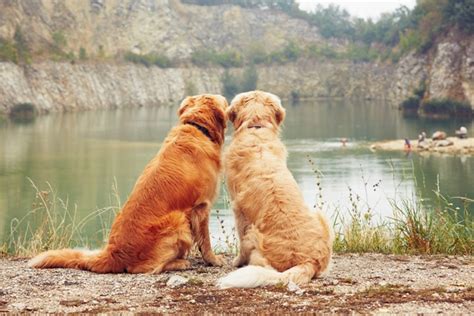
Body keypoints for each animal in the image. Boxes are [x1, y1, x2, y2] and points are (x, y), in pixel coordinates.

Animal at [28, 94, 229, 274]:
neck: (197, 128)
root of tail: (112, 253)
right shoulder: (201, 207)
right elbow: (205, 240)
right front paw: (213, 260)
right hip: (178, 220)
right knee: (143, 268)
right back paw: (179, 263)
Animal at [218, 90, 334, 288]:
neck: (256, 129)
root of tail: (308, 261)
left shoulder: (238, 211)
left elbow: (240, 241)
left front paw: (237, 261)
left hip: (254, 235)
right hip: (322, 218)